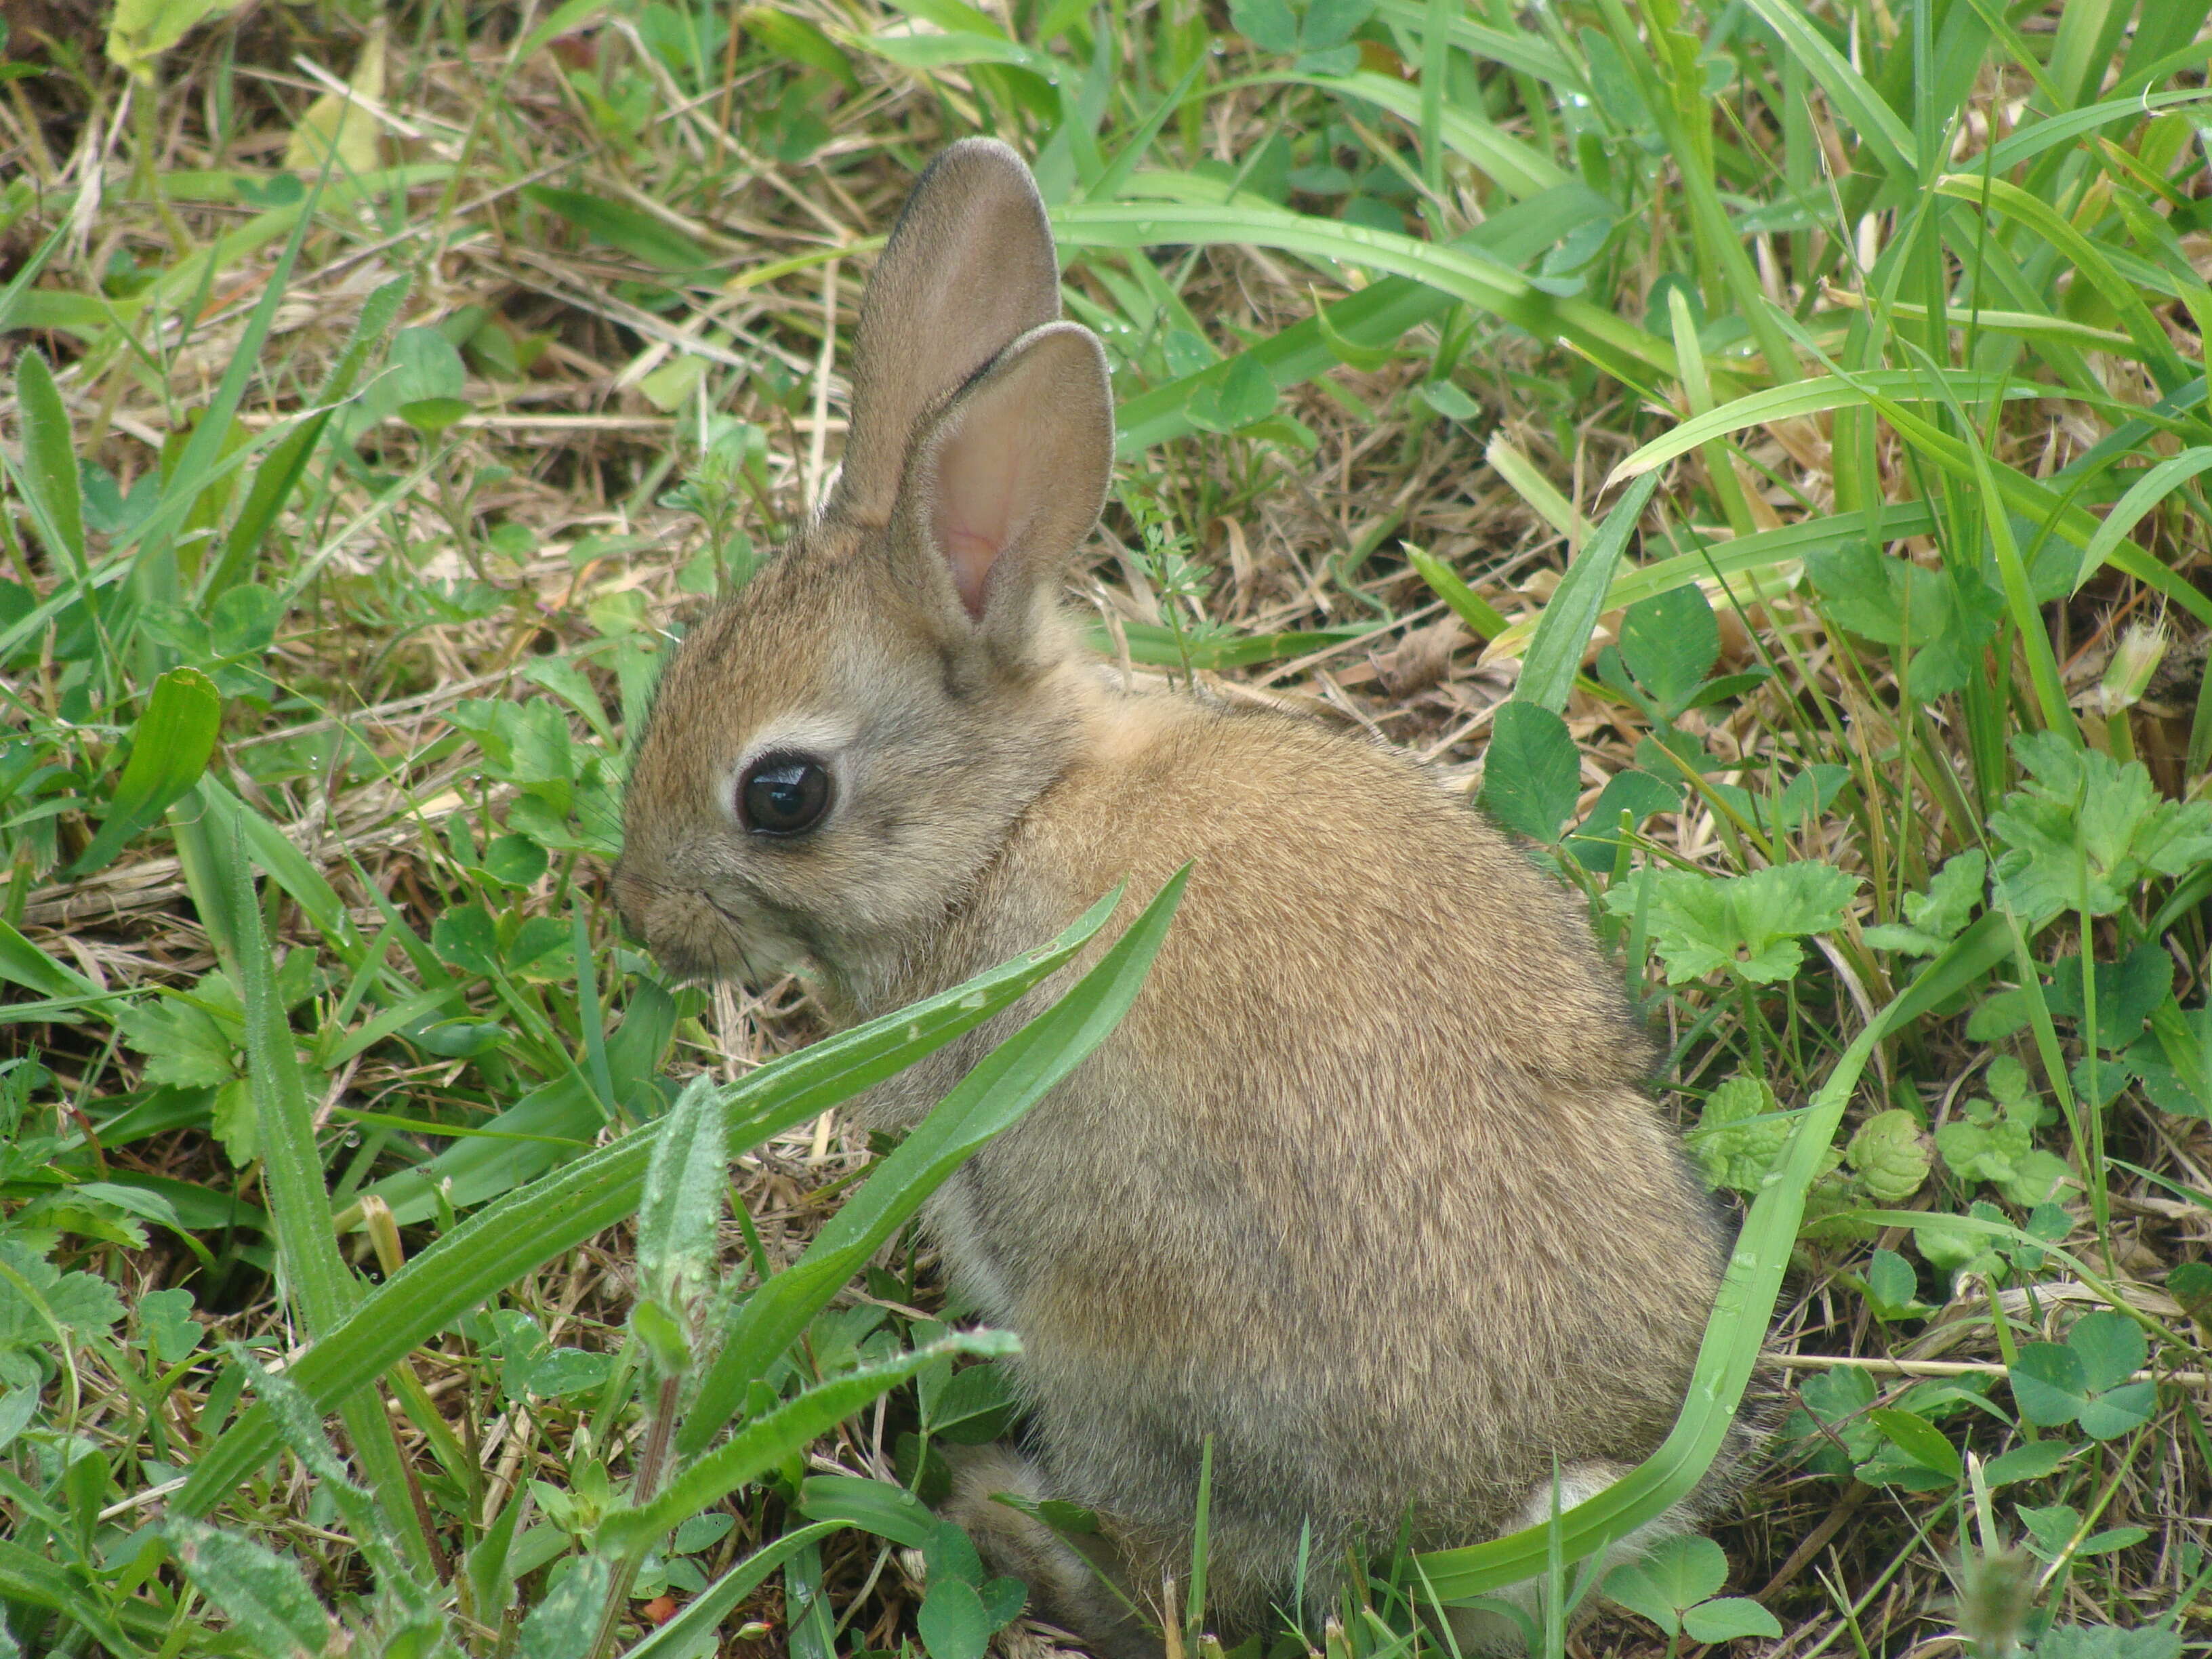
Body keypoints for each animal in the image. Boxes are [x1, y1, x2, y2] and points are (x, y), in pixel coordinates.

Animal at [615, 142, 1752, 1659]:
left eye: (781, 795)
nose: (643, 913)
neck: (1009, 819)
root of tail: (1510, 1507)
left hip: (1110, 1338)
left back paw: (993, 1509)